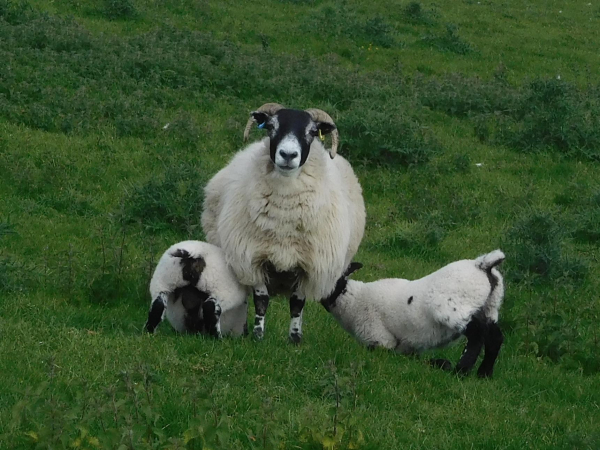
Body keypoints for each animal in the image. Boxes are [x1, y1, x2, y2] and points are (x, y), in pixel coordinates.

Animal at [202, 103, 366, 342]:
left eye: (311, 132)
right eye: (271, 126)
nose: (288, 154)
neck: (284, 218)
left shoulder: (308, 266)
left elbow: (297, 304)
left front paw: (295, 339)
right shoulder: (253, 258)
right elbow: (261, 300)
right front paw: (258, 336)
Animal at [322, 250, 504, 376]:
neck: (353, 299)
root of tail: (482, 265)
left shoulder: (381, 340)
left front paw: (442, 365)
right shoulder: (407, 348)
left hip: (453, 308)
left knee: (477, 335)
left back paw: (461, 371)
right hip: (490, 307)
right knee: (494, 337)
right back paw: (484, 374)